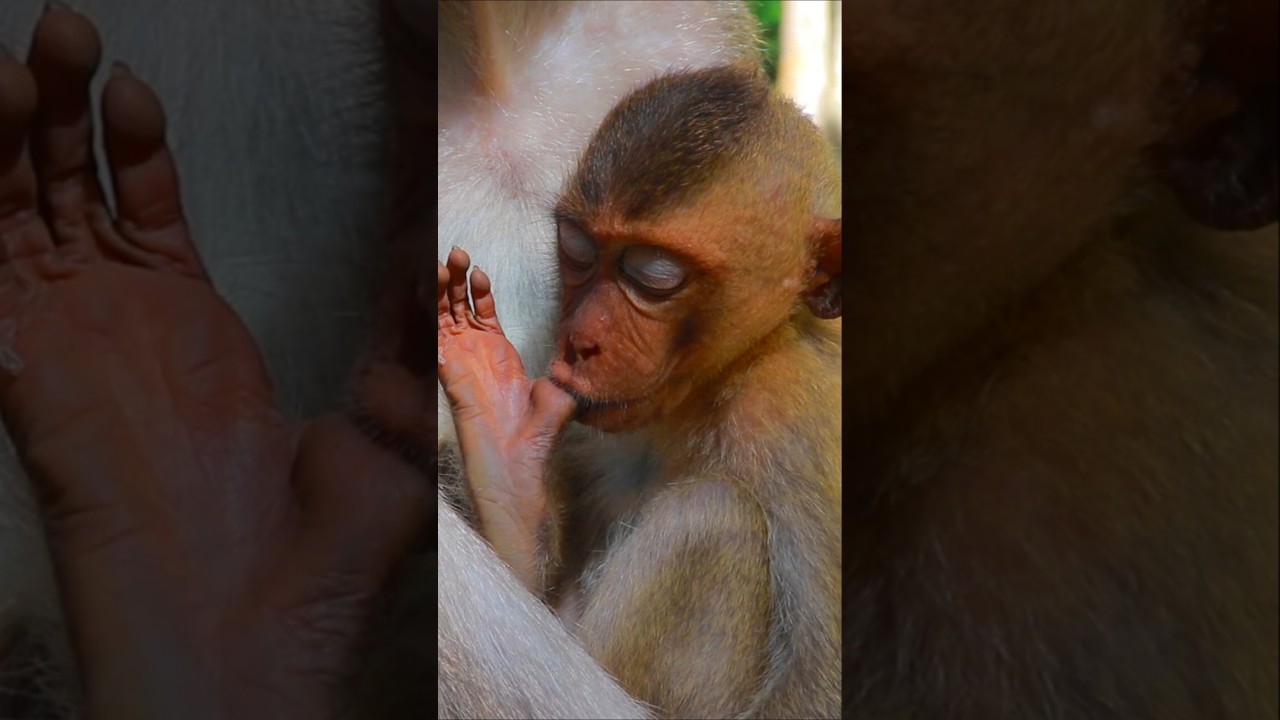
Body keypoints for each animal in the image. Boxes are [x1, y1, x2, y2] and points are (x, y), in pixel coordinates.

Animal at [437, 64, 843, 719]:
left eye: (653, 277)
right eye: (578, 250)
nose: (579, 342)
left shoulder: (790, 413)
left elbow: (821, 672)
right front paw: (508, 467)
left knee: (713, 518)